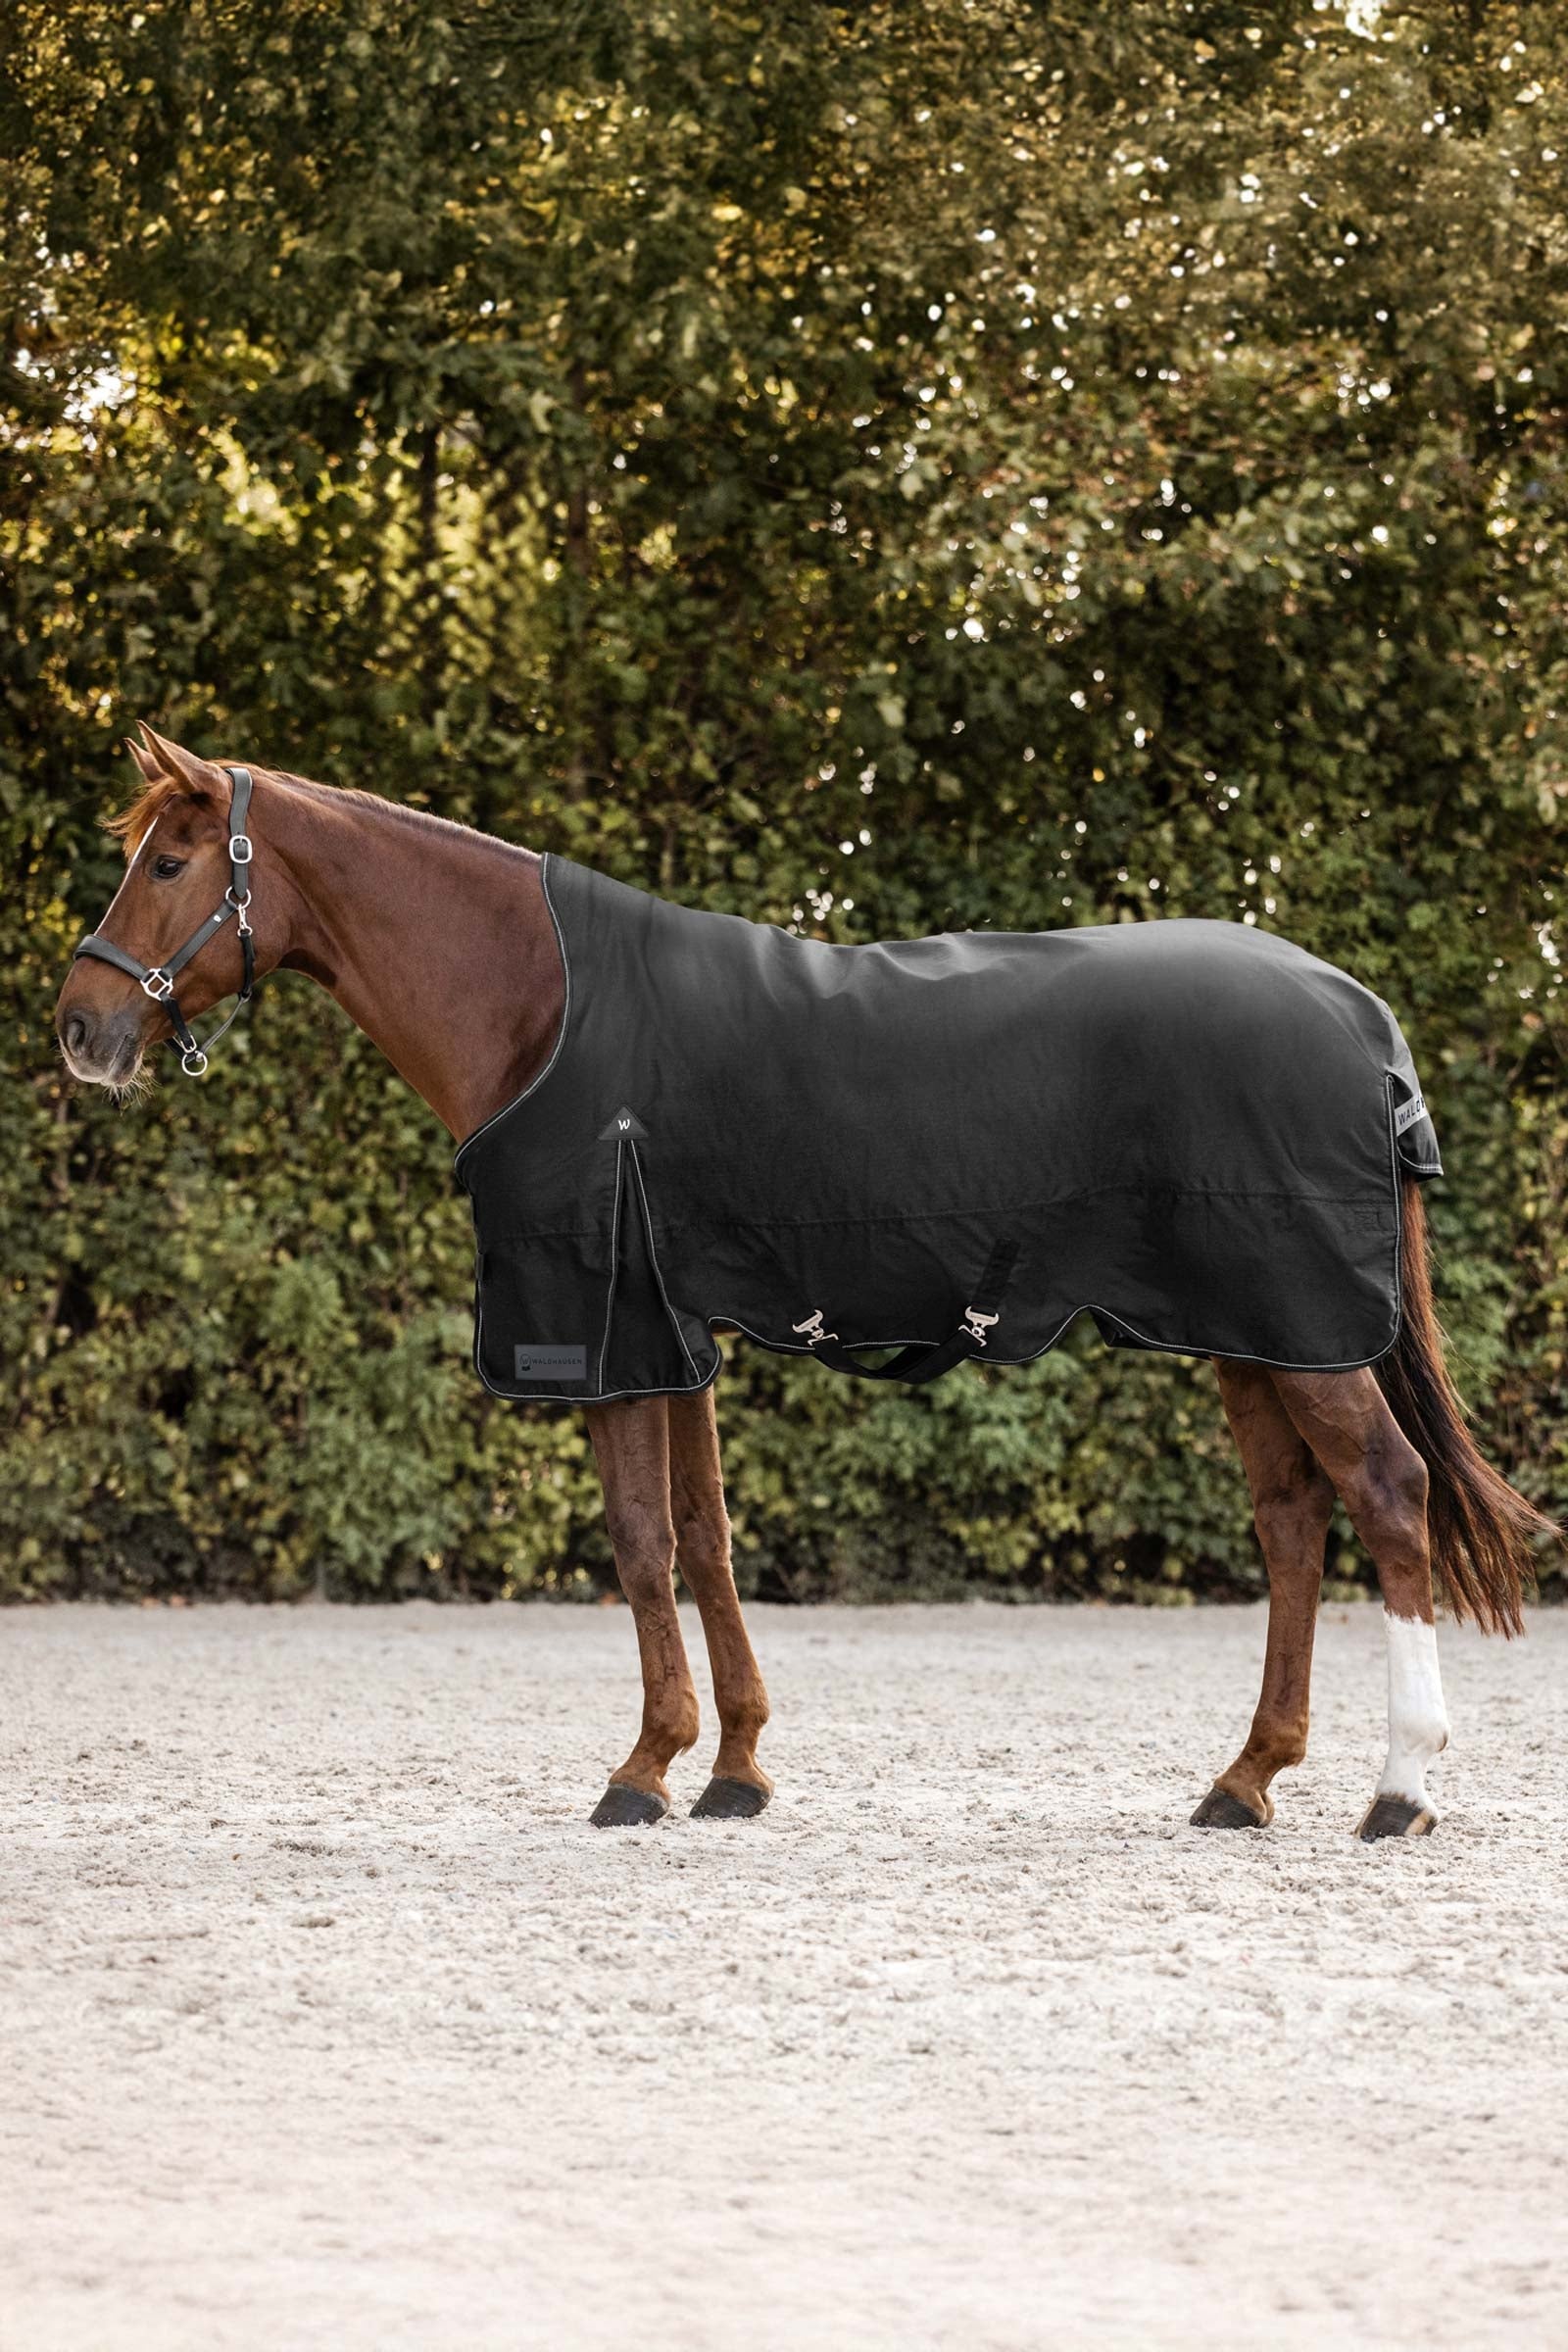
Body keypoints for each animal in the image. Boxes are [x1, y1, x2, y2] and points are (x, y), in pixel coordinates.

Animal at [55, 728, 1554, 1838]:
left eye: (172, 860)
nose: (80, 1029)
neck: (546, 1010)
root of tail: (1359, 1014)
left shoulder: (610, 1331)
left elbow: (642, 1543)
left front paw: (640, 1771)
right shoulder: (679, 1336)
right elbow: (706, 1537)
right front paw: (731, 1769)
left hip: (1307, 1335)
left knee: (1390, 1498)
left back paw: (1397, 1789)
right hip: (1252, 1335)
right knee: (1293, 1523)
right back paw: (1244, 1782)